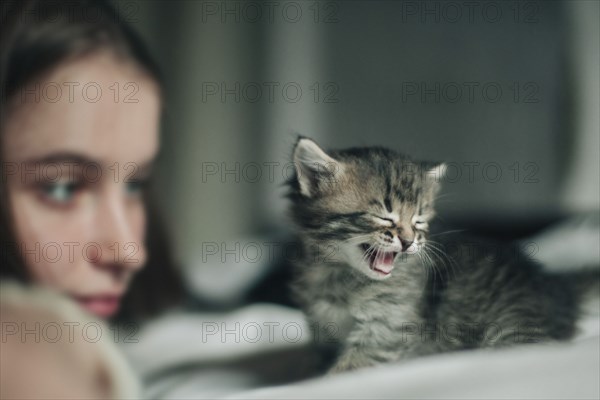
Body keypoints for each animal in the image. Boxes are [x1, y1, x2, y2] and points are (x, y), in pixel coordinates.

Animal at [288, 137, 596, 372]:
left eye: (418, 220)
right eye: (385, 217)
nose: (408, 242)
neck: (336, 273)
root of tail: (556, 285)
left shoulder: (388, 328)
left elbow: (350, 368)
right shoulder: (323, 329)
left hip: (512, 328)